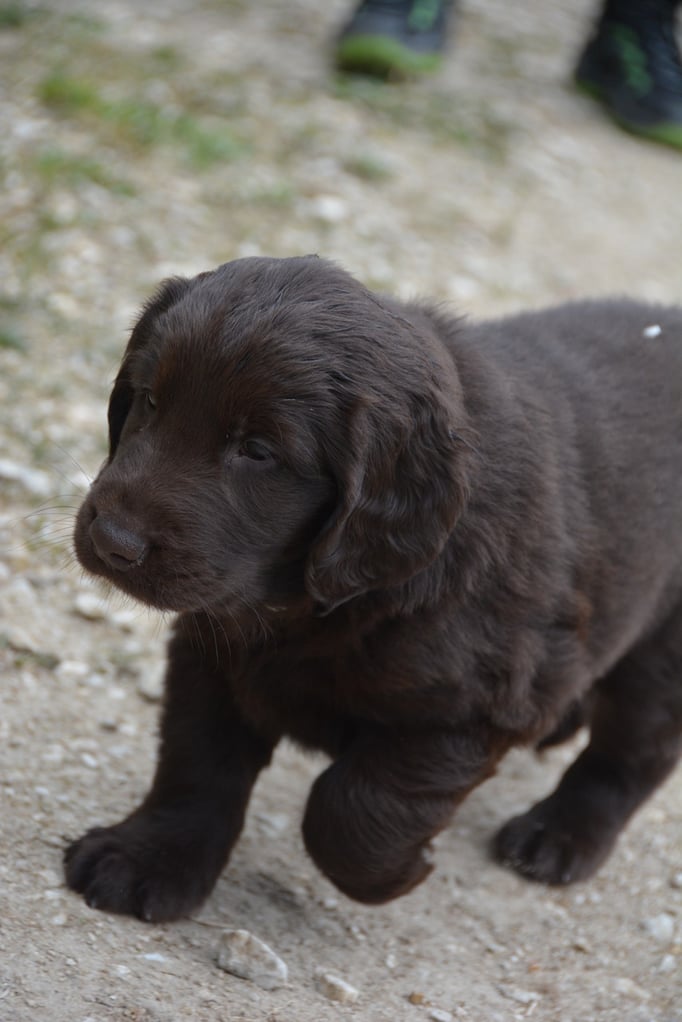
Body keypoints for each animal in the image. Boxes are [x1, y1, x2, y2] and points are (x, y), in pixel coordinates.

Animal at [65, 255, 682, 922]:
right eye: (150, 400)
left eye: (257, 451)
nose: (114, 541)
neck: (319, 600)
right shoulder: (213, 652)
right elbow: (196, 762)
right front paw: (147, 858)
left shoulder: (473, 702)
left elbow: (352, 807)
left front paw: (400, 871)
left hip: (660, 651)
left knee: (630, 755)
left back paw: (559, 835)